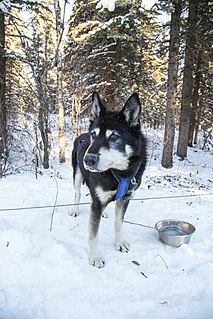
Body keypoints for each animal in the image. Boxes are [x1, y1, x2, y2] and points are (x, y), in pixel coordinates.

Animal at [71, 93, 146, 270]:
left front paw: (120, 243)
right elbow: (93, 233)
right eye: (94, 135)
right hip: (77, 176)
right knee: (77, 194)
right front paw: (95, 257)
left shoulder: (125, 199)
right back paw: (75, 209)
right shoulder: (97, 202)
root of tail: (81, 135)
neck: (119, 173)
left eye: (114, 136)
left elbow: (118, 224)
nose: (88, 160)